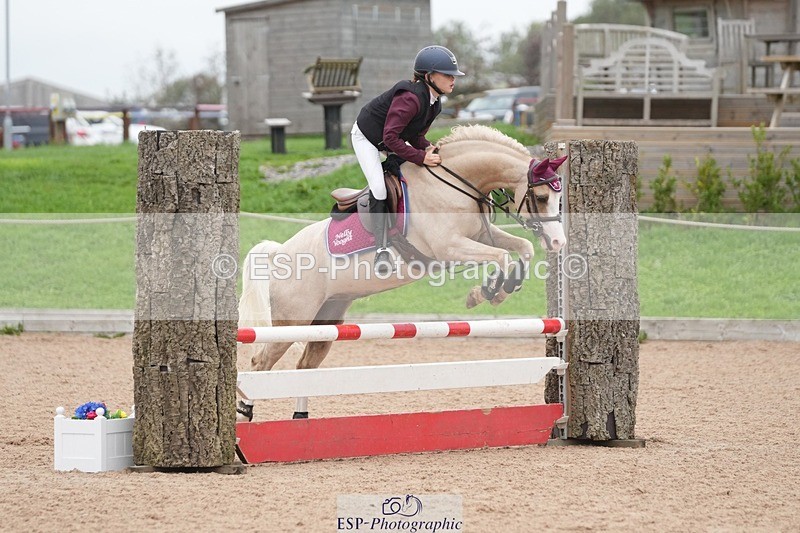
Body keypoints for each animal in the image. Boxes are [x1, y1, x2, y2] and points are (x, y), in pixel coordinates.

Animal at [237, 124, 566, 420]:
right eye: (540, 198)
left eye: (558, 199)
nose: (558, 242)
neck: (453, 186)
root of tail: (280, 252)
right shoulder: (449, 247)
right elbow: (503, 256)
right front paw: (487, 292)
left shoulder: (481, 236)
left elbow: (523, 248)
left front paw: (498, 290)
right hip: (292, 320)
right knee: (259, 362)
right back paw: (244, 416)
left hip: (326, 319)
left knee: (304, 367)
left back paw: (300, 418)